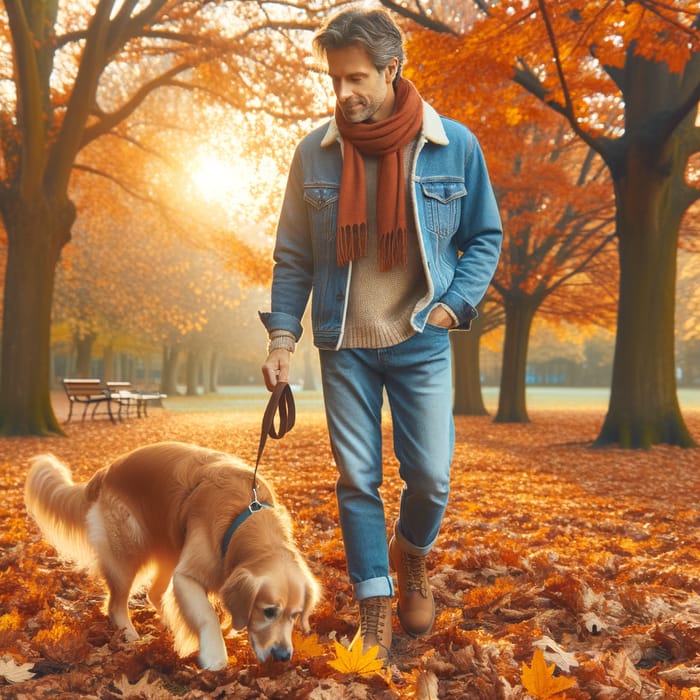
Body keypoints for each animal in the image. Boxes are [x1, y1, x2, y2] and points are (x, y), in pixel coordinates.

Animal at [24, 442, 320, 668]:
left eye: (295, 615)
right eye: (268, 611)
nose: (282, 656)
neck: (245, 517)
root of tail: (105, 472)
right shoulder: (187, 576)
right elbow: (208, 615)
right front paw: (214, 655)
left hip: (167, 551)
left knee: (155, 594)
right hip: (127, 554)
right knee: (116, 605)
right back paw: (131, 636)